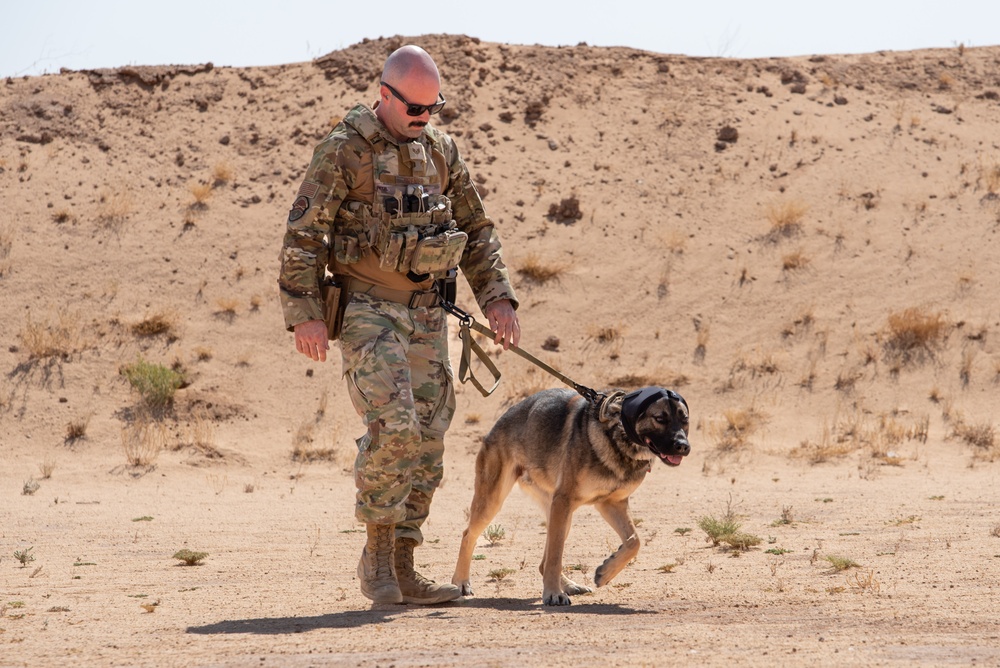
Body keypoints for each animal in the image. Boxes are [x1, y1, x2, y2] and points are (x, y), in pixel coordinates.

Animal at [452, 386, 688, 604]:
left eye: (685, 420)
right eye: (660, 419)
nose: (684, 446)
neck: (618, 435)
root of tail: (503, 417)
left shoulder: (612, 503)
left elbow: (634, 542)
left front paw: (605, 572)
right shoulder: (567, 500)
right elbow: (556, 556)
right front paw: (553, 594)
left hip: (560, 514)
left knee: (544, 561)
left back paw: (569, 585)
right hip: (496, 501)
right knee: (468, 535)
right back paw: (460, 583)